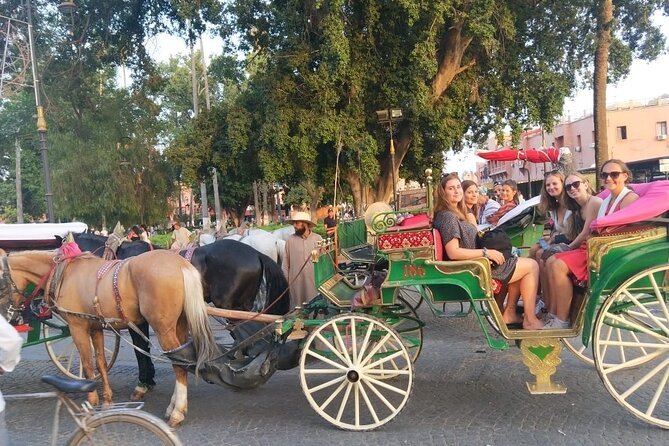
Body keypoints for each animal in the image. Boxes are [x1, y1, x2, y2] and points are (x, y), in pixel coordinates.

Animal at [0, 247, 217, 426]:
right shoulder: (95, 327)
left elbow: (87, 363)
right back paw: (175, 405)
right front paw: (107, 398)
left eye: (1, 284)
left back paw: (177, 411)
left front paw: (92, 399)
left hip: (163, 329)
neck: (64, 274)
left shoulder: (77, 327)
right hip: (180, 324)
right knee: (183, 360)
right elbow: (101, 363)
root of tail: (180, 263)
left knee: (178, 365)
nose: (9, 316)